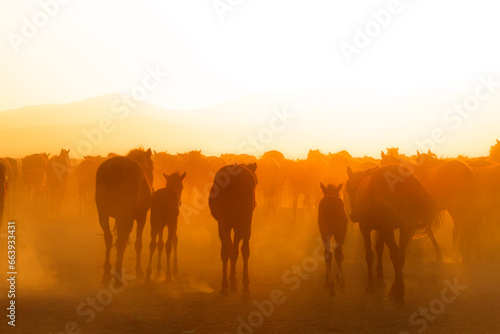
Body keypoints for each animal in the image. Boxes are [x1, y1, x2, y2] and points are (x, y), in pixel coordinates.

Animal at [95, 147, 153, 286]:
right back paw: (117, 275)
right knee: (121, 243)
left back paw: (107, 271)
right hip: (126, 217)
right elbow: (138, 243)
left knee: (108, 238)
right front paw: (139, 270)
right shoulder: (141, 216)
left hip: (103, 214)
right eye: (152, 167)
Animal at [209, 163, 258, 294]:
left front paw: (233, 281)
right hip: (243, 219)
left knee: (227, 250)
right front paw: (234, 281)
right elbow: (234, 250)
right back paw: (244, 285)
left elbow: (232, 250)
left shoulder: (229, 223)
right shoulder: (236, 224)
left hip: (226, 221)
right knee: (244, 248)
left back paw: (226, 285)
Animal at [346, 164, 440, 302]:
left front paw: (370, 284)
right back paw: (396, 287)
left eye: (349, 189)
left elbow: (370, 254)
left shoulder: (366, 227)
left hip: (388, 229)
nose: (353, 216)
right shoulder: (382, 229)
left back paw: (398, 290)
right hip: (403, 228)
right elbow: (379, 248)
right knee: (400, 255)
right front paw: (380, 273)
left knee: (395, 254)